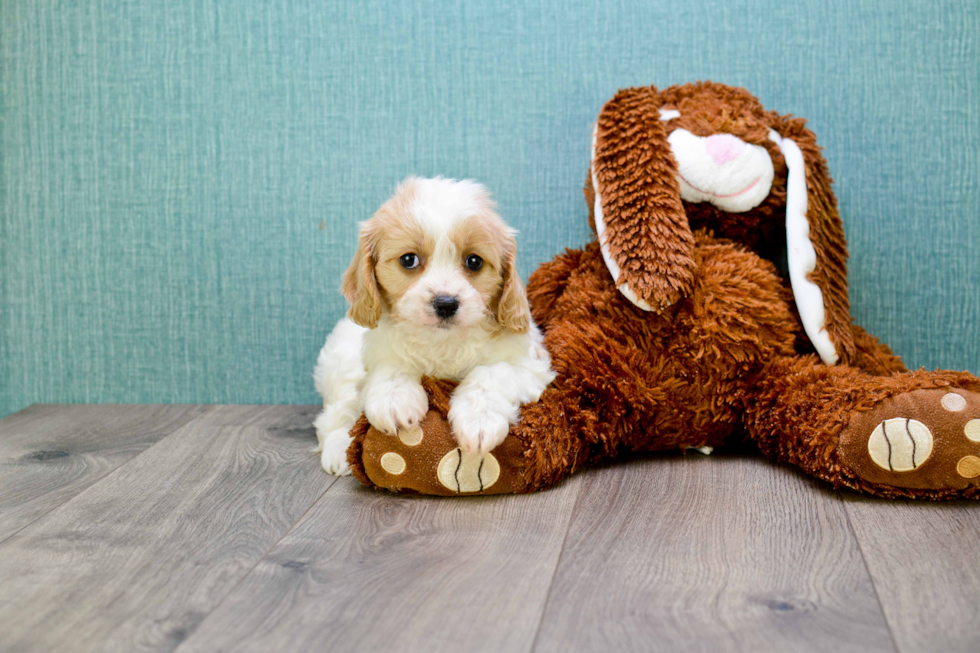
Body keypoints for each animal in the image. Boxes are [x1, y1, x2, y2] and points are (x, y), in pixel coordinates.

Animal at [316, 177, 556, 474]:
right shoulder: (378, 353)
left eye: (474, 261)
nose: (445, 303)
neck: (443, 342)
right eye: (409, 260)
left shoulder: (531, 367)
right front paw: (395, 401)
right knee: (336, 412)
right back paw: (339, 449)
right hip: (340, 364)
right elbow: (391, 367)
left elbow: (490, 373)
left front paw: (478, 419)